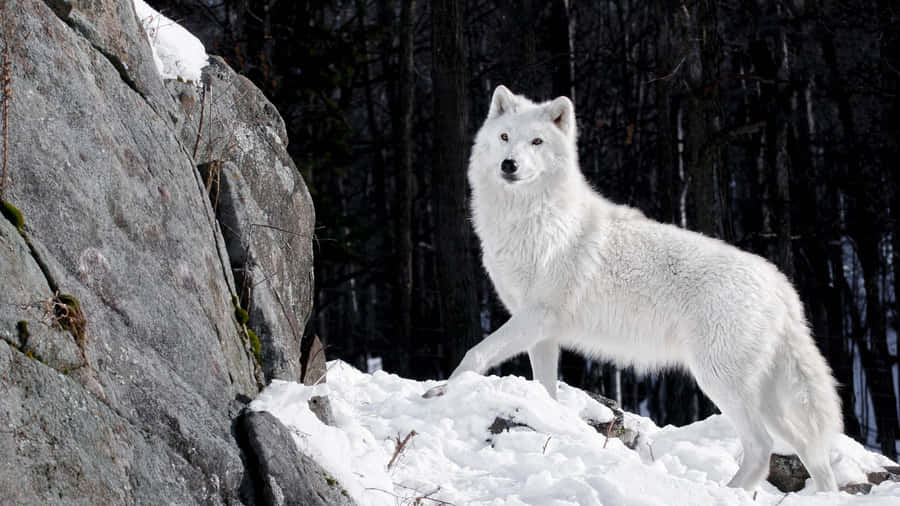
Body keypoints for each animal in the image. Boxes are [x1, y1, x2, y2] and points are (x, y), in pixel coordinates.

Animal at [424, 85, 843, 492]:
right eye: (505, 137)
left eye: (537, 142)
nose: (508, 165)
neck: (531, 220)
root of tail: (780, 284)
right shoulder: (542, 333)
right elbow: (545, 388)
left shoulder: (536, 317)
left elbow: (475, 354)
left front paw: (440, 392)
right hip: (765, 399)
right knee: (810, 450)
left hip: (720, 381)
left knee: (762, 448)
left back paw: (726, 491)